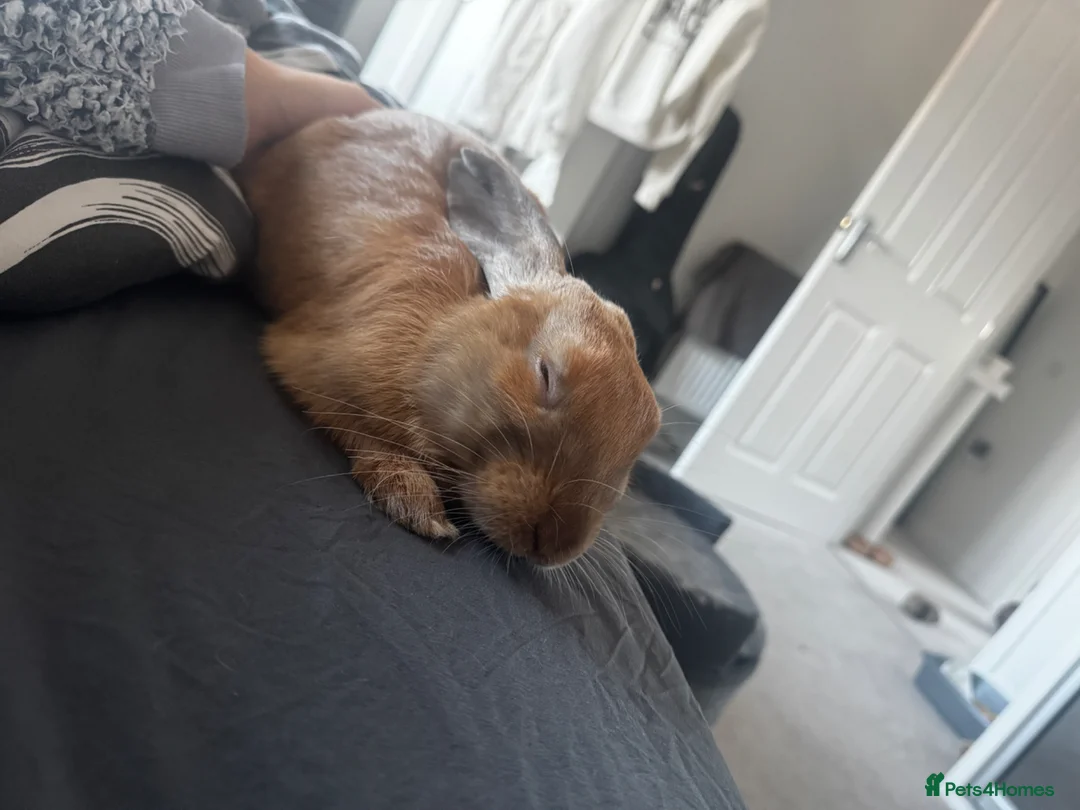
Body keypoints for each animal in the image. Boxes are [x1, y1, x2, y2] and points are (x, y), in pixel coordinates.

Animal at [239, 109, 660, 567]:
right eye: (545, 374)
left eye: (643, 439)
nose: (552, 545)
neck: (436, 341)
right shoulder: (319, 372)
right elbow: (365, 437)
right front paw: (420, 508)